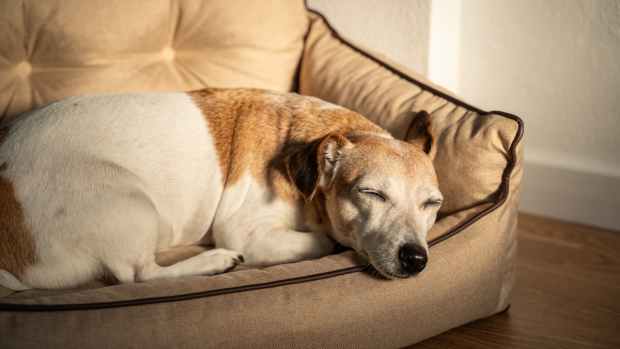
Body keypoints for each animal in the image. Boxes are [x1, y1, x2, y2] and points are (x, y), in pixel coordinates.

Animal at [0, 88, 440, 290]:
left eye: (432, 204)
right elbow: (322, 240)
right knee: (138, 274)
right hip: (126, 194)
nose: (416, 258)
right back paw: (214, 261)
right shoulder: (245, 230)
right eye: (371, 193)